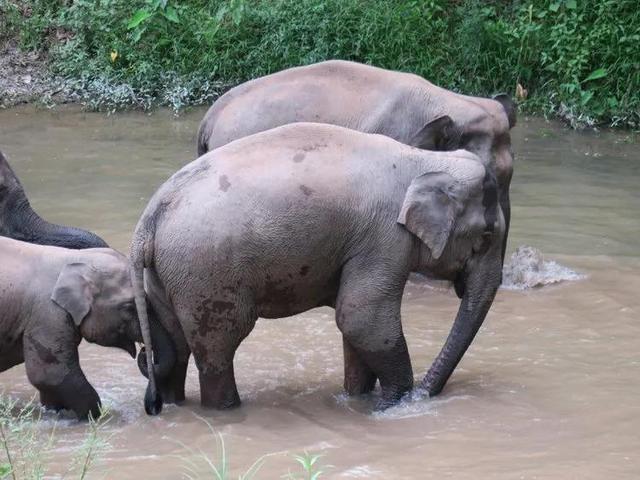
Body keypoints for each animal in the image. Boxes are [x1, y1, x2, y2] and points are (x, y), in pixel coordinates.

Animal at [0, 236, 176, 420]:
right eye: (129, 307)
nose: (154, 407)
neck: (74, 259)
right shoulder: (47, 315)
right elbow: (50, 374)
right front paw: (92, 417)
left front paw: (58, 414)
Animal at [134, 123, 504, 412]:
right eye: (486, 236)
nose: (423, 395)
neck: (425, 159)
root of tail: (150, 217)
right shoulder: (383, 237)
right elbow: (361, 316)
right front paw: (393, 403)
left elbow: (354, 325)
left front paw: (357, 400)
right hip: (206, 274)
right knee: (218, 350)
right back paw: (226, 409)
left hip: (168, 277)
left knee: (176, 348)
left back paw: (174, 404)